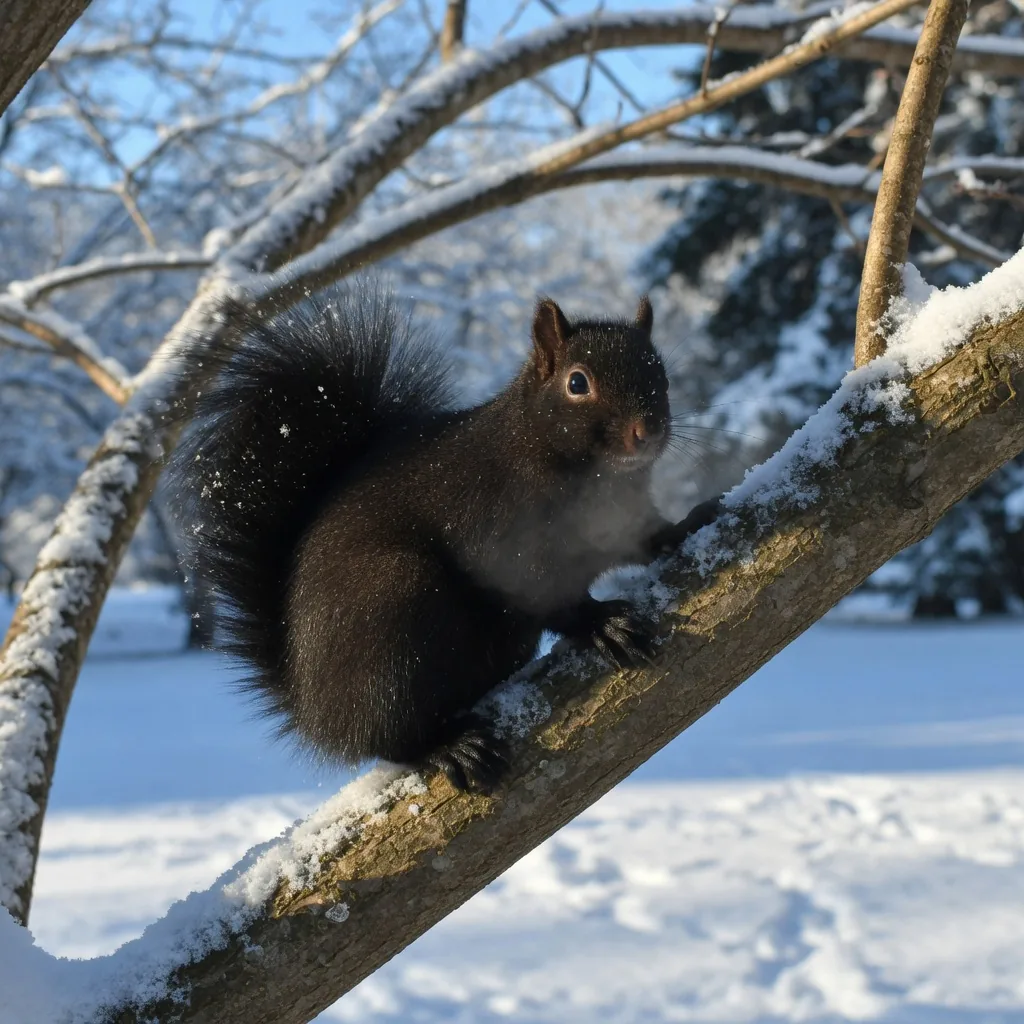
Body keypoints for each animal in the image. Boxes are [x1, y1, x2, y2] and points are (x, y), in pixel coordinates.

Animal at [169, 286, 719, 792]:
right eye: (577, 382)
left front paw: (687, 526)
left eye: (660, 372)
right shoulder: (504, 542)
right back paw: (450, 748)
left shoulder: (618, 519)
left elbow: (644, 537)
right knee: (389, 735)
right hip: (392, 612)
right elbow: (548, 598)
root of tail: (315, 709)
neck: (596, 478)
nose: (646, 431)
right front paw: (601, 623)